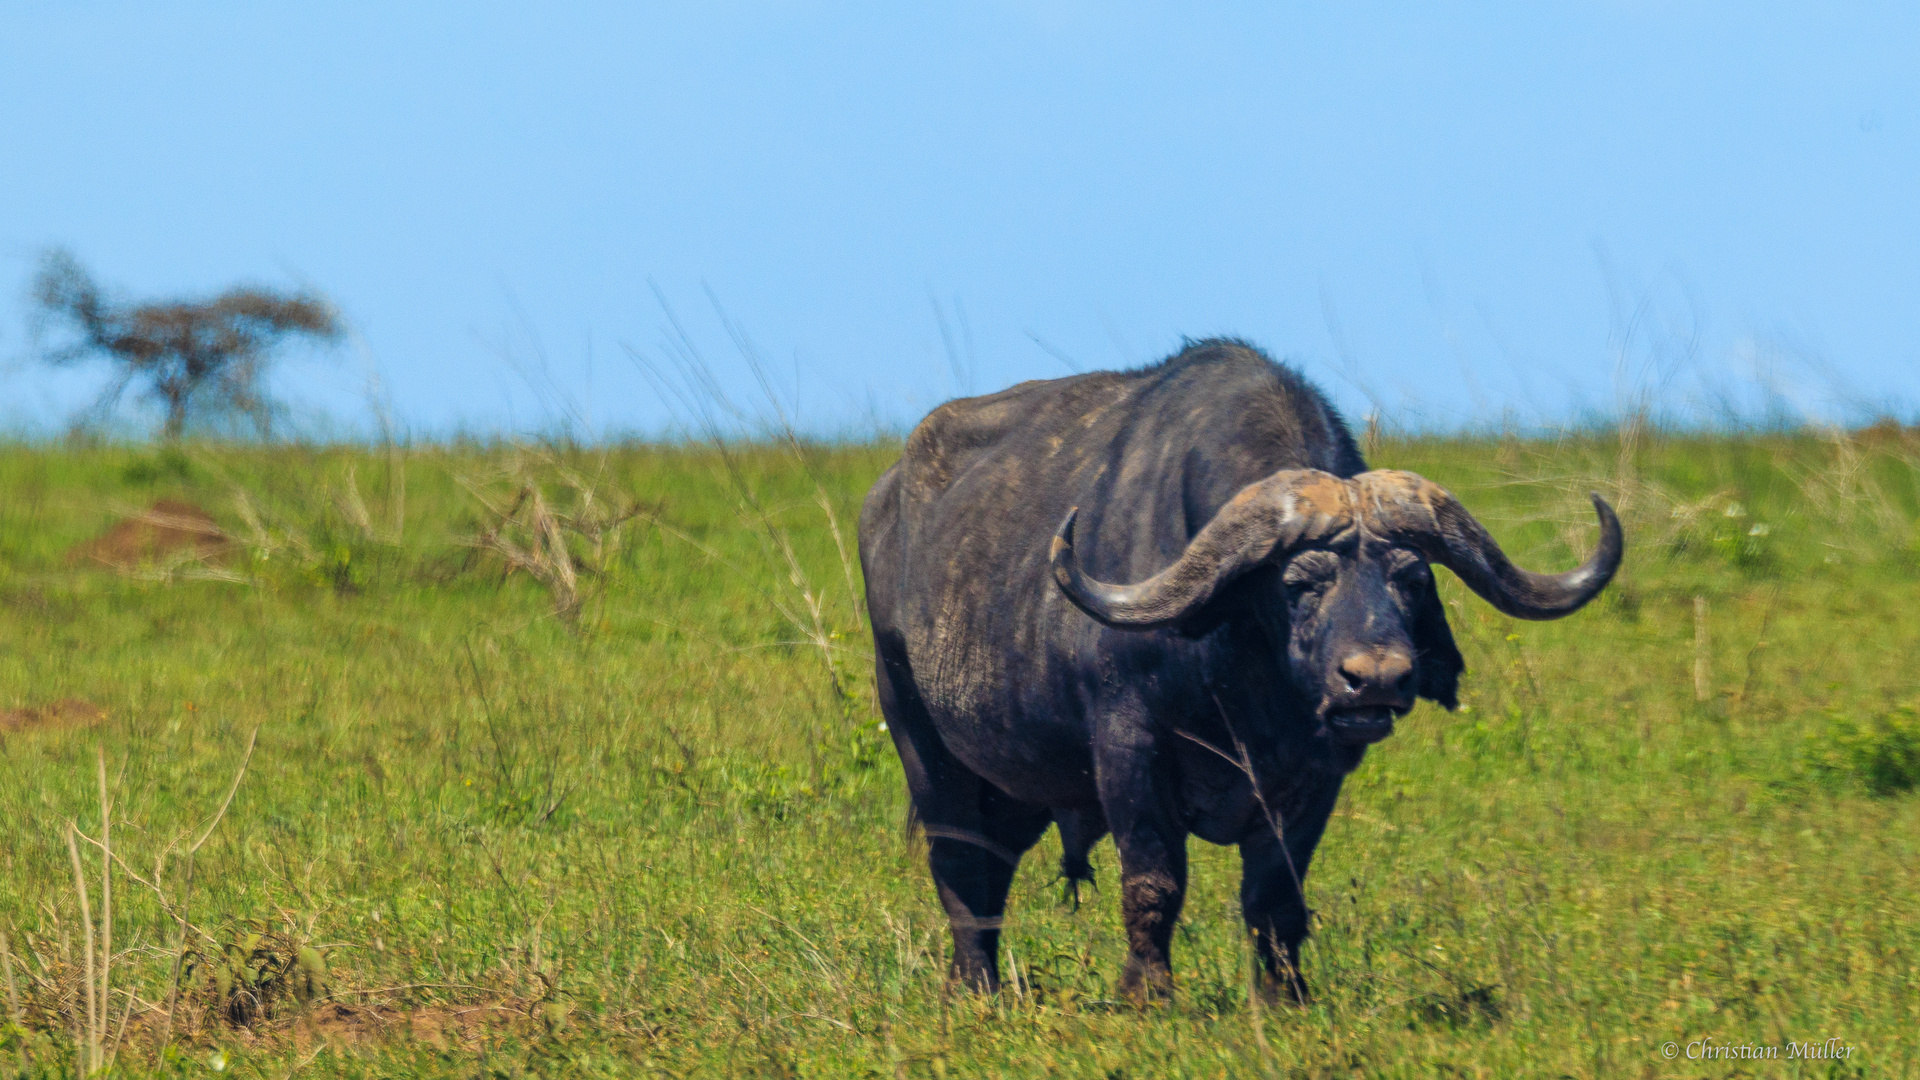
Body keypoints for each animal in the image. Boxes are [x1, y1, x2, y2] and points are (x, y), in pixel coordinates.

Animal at [860, 338, 1620, 999]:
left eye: (1410, 579)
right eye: (1299, 582)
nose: (1376, 678)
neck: (1240, 687)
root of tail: (887, 499)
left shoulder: (1315, 776)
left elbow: (1275, 896)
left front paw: (1284, 997)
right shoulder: (1129, 750)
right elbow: (1154, 883)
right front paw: (1146, 994)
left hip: (1015, 788)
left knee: (995, 866)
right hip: (922, 743)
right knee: (960, 867)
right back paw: (976, 990)